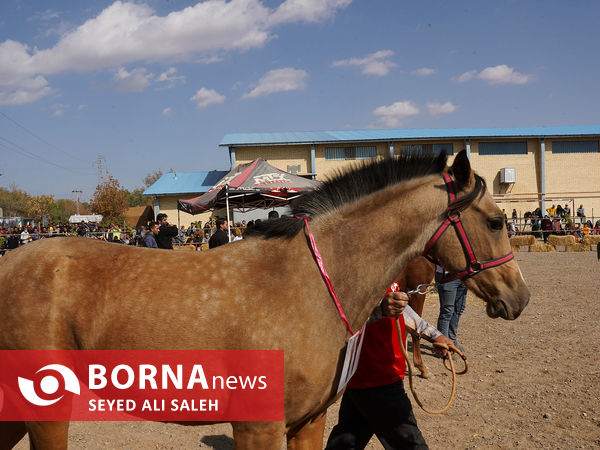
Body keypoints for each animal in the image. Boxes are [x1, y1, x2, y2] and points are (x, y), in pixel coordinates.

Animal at [0, 149, 528, 448]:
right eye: (496, 221)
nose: (518, 297)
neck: (306, 285)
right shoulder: (259, 428)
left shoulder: (308, 424)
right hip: (46, 415)